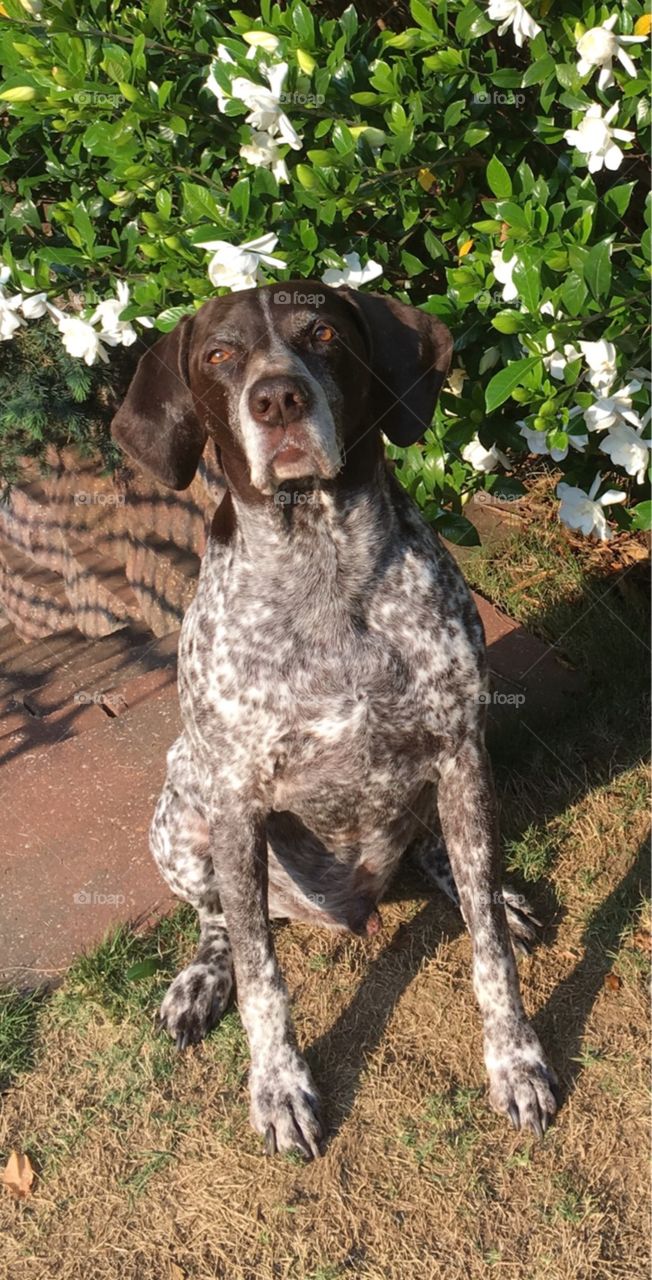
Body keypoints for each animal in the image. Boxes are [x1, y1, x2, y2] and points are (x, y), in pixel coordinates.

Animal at [110, 280, 553, 1162]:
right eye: (220, 354)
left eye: (321, 335)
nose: (277, 398)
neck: (322, 567)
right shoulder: (236, 803)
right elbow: (262, 978)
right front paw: (279, 1087)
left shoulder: (460, 753)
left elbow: (488, 950)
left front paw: (515, 1059)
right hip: (179, 814)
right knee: (219, 921)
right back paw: (200, 979)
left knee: (447, 863)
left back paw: (487, 891)